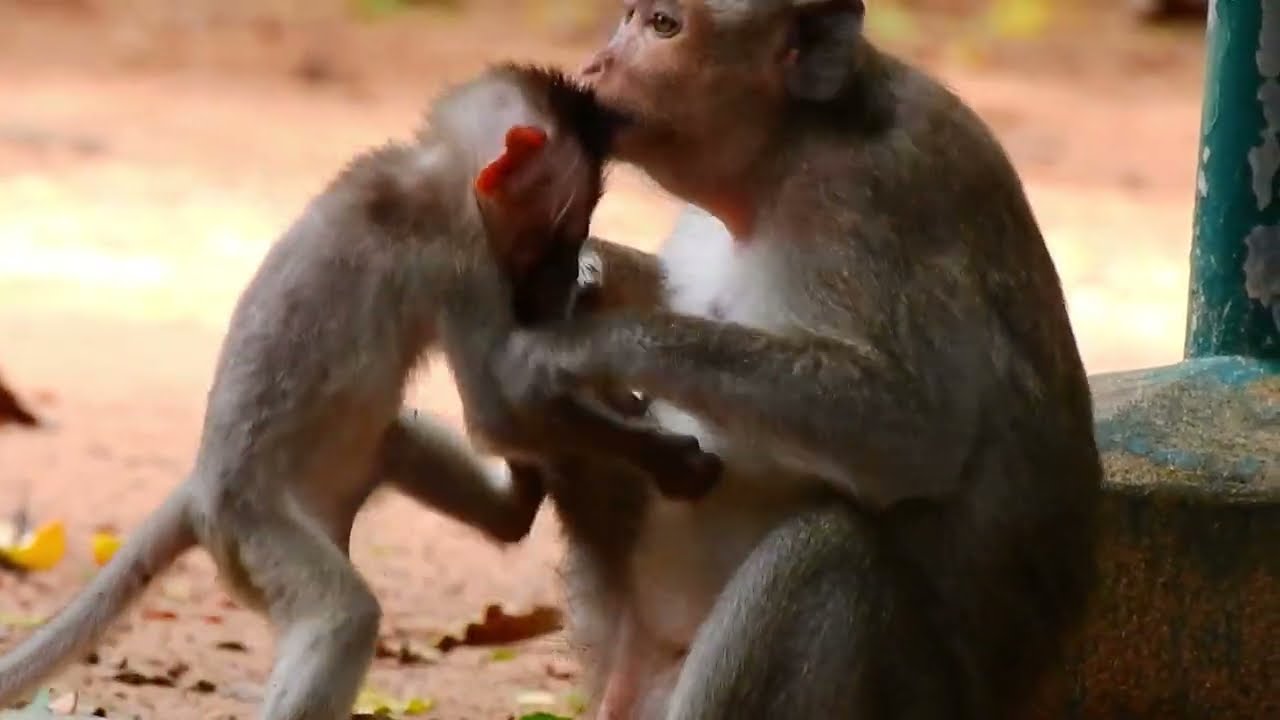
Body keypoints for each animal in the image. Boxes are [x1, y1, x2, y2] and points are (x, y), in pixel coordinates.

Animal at [0, 63, 721, 720]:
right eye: (561, 229)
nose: (568, 274)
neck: (436, 171)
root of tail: (201, 490)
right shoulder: (465, 258)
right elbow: (497, 409)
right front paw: (665, 457)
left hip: (338, 480)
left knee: (398, 439)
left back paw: (516, 499)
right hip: (256, 536)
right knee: (344, 616)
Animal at [483, 2, 1106, 718]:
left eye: (664, 26)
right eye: (632, 18)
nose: (594, 66)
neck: (780, 157)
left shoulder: (864, 202)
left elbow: (913, 431)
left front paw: (584, 346)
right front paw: (588, 271)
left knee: (832, 552)